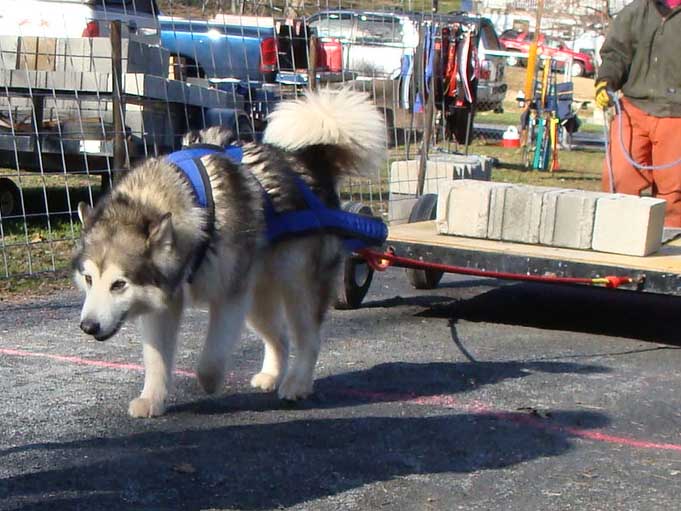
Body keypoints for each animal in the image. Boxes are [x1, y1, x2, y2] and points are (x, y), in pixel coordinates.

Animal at [71, 90, 386, 418]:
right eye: (89, 279)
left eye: (119, 284)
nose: (88, 326)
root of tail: (311, 162)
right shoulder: (164, 303)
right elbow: (156, 359)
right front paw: (152, 399)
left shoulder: (229, 298)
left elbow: (211, 358)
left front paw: (208, 382)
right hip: (257, 300)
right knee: (280, 336)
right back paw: (271, 375)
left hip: (297, 286)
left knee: (308, 338)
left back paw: (296, 384)